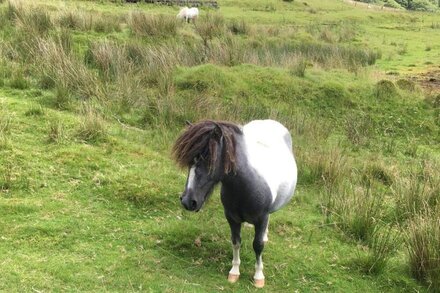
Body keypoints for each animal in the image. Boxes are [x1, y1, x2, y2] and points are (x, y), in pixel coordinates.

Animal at [174, 119, 298, 288]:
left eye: (209, 159)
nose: (187, 201)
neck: (246, 185)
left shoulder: (262, 218)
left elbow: (258, 245)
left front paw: (259, 276)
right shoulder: (232, 218)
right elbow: (236, 242)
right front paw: (234, 272)